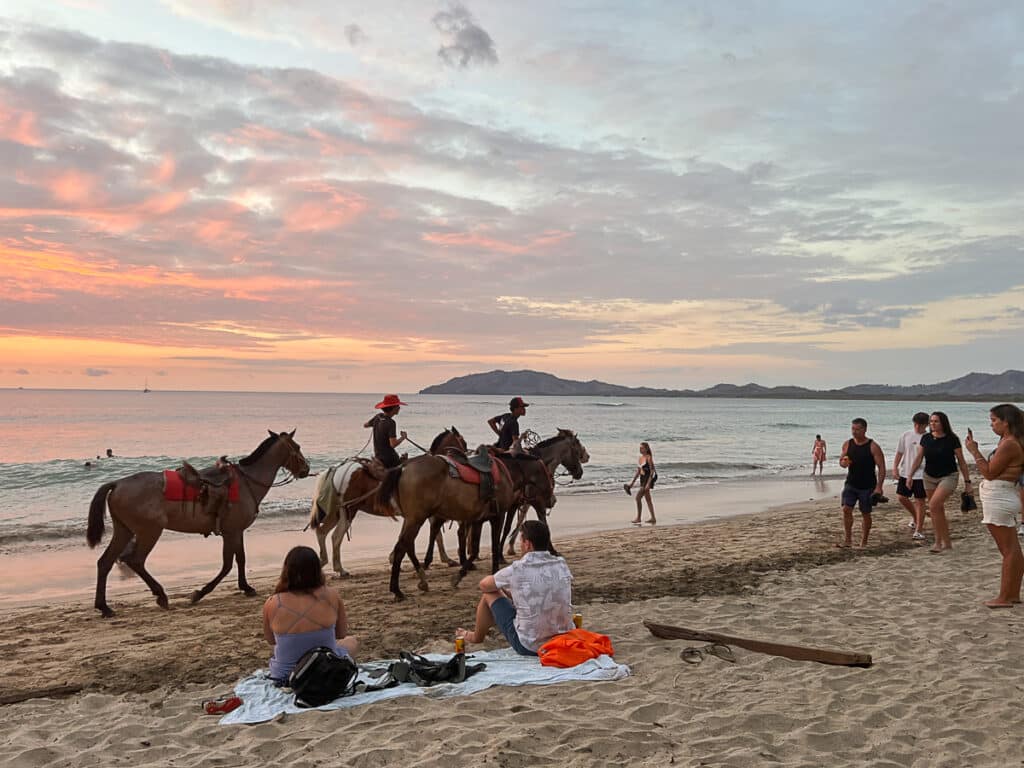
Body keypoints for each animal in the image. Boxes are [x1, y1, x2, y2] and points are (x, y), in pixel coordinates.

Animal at [86, 434, 309, 618]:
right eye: (297, 447)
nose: (306, 469)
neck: (247, 483)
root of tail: (117, 483)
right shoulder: (231, 532)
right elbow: (228, 564)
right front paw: (200, 593)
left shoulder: (236, 531)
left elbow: (240, 559)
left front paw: (245, 587)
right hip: (149, 531)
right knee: (136, 560)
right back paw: (161, 595)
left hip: (124, 530)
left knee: (105, 562)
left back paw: (104, 607)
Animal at [307, 428, 468, 577]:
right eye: (463, 441)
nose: (466, 459)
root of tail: (337, 470)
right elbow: (436, 535)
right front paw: (447, 559)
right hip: (349, 511)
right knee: (336, 536)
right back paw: (340, 569)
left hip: (338, 511)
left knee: (322, 532)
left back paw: (326, 563)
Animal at [374, 450, 512, 602]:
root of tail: (404, 467)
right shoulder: (498, 516)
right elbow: (493, 547)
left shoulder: (478, 520)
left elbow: (475, 550)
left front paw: (459, 576)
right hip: (416, 519)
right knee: (401, 548)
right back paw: (397, 590)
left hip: (411, 519)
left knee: (406, 545)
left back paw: (421, 580)